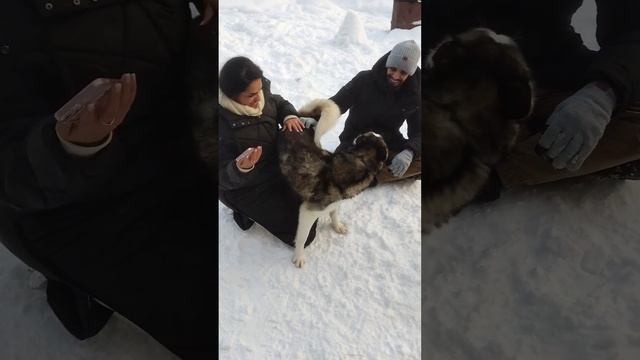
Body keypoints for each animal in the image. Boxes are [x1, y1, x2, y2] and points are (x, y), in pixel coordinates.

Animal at [278, 98, 388, 268]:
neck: (361, 160)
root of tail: (297, 116)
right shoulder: (308, 212)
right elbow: (303, 238)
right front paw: (299, 256)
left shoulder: (335, 202)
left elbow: (335, 213)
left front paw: (337, 226)